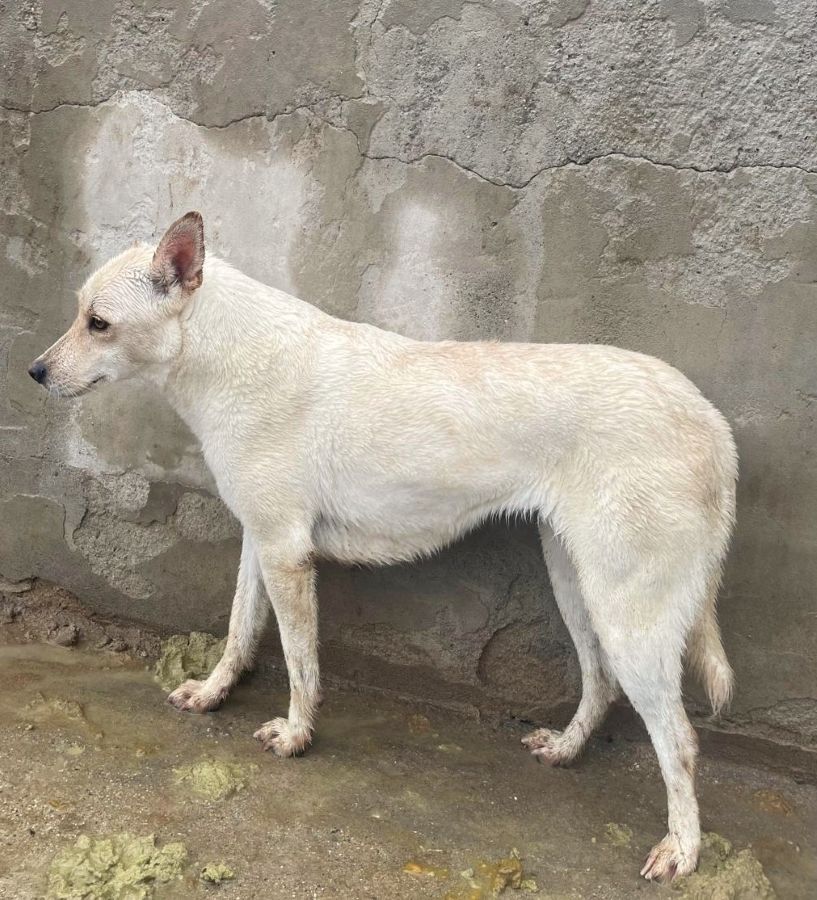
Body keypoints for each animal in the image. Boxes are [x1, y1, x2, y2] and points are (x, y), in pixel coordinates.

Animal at [30, 211, 737, 881]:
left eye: (98, 323)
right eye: (80, 314)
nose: (35, 372)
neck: (222, 349)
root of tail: (711, 422)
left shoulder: (285, 552)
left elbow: (298, 658)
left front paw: (296, 735)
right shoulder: (261, 541)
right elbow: (238, 630)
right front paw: (212, 694)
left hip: (629, 612)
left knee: (679, 741)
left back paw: (682, 849)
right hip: (577, 583)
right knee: (600, 681)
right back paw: (566, 750)